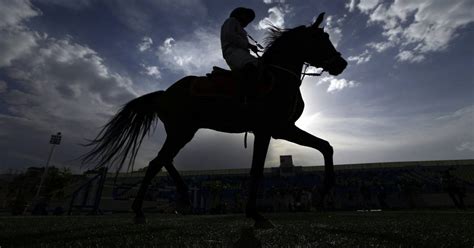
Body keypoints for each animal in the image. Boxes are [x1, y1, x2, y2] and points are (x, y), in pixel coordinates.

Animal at [83, 12, 346, 228]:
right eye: (321, 38)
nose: (341, 64)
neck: (277, 77)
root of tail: (164, 93)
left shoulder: (283, 129)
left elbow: (326, 146)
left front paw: (322, 194)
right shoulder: (271, 129)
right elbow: (256, 170)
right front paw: (255, 214)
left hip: (183, 132)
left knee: (164, 160)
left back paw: (183, 197)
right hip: (181, 131)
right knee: (157, 162)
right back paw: (140, 211)